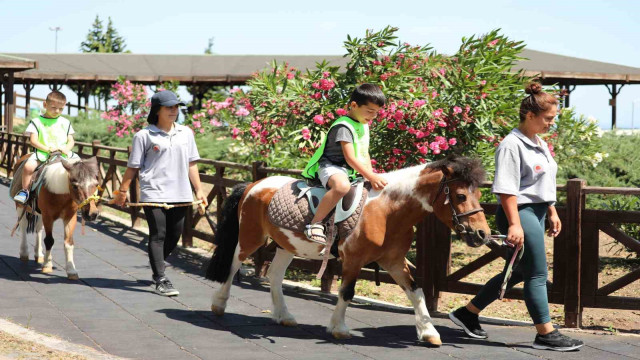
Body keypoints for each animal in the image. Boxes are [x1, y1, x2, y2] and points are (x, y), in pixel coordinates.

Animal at [205, 155, 490, 346]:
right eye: (461, 196)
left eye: (478, 195)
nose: (483, 234)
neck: (386, 211)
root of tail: (253, 185)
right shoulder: (354, 259)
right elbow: (347, 292)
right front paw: (339, 328)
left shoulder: (394, 261)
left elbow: (416, 290)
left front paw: (429, 332)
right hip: (251, 238)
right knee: (234, 262)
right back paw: (218, 304)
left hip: (286, 245)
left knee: (274, 275)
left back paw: (284, 316)